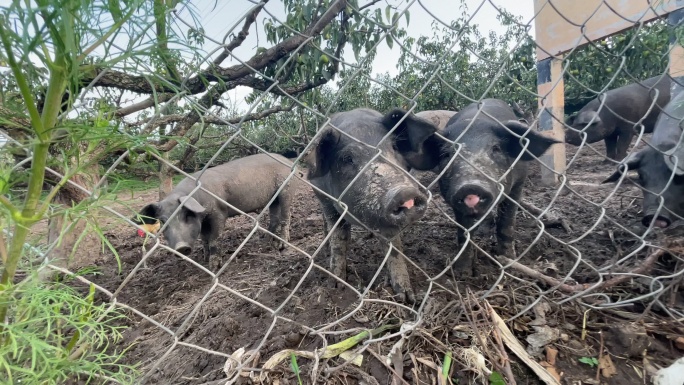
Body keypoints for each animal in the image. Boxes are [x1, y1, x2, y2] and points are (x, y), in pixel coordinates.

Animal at [136, 153, 294, 268]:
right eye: (163, 222)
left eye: (187, 215)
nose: (181, 247)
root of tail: (287, 160)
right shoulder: (203, 222)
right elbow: (204, 239)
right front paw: (204, 260)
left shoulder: (219, 213)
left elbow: (213, 239)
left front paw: (214, 266)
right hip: (273, 198)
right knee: (274, 217)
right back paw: (266, 241)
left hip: (286, 189)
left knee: (286, 216)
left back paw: (282, 245)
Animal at [304, 106, 438, 302]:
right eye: (347, 158)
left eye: (394, 147)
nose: (403, 192)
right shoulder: (328, 204)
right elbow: (339, 241)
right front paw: (335, 286)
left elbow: (394, 248)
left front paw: (407, 297)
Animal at [392, 99, 560, 272]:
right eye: (446, 154)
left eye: (496, 149)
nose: (470, 185)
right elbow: (464, 232)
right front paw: (462, 271)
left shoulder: (518, 184)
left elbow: (506, 222)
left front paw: (509, 261)